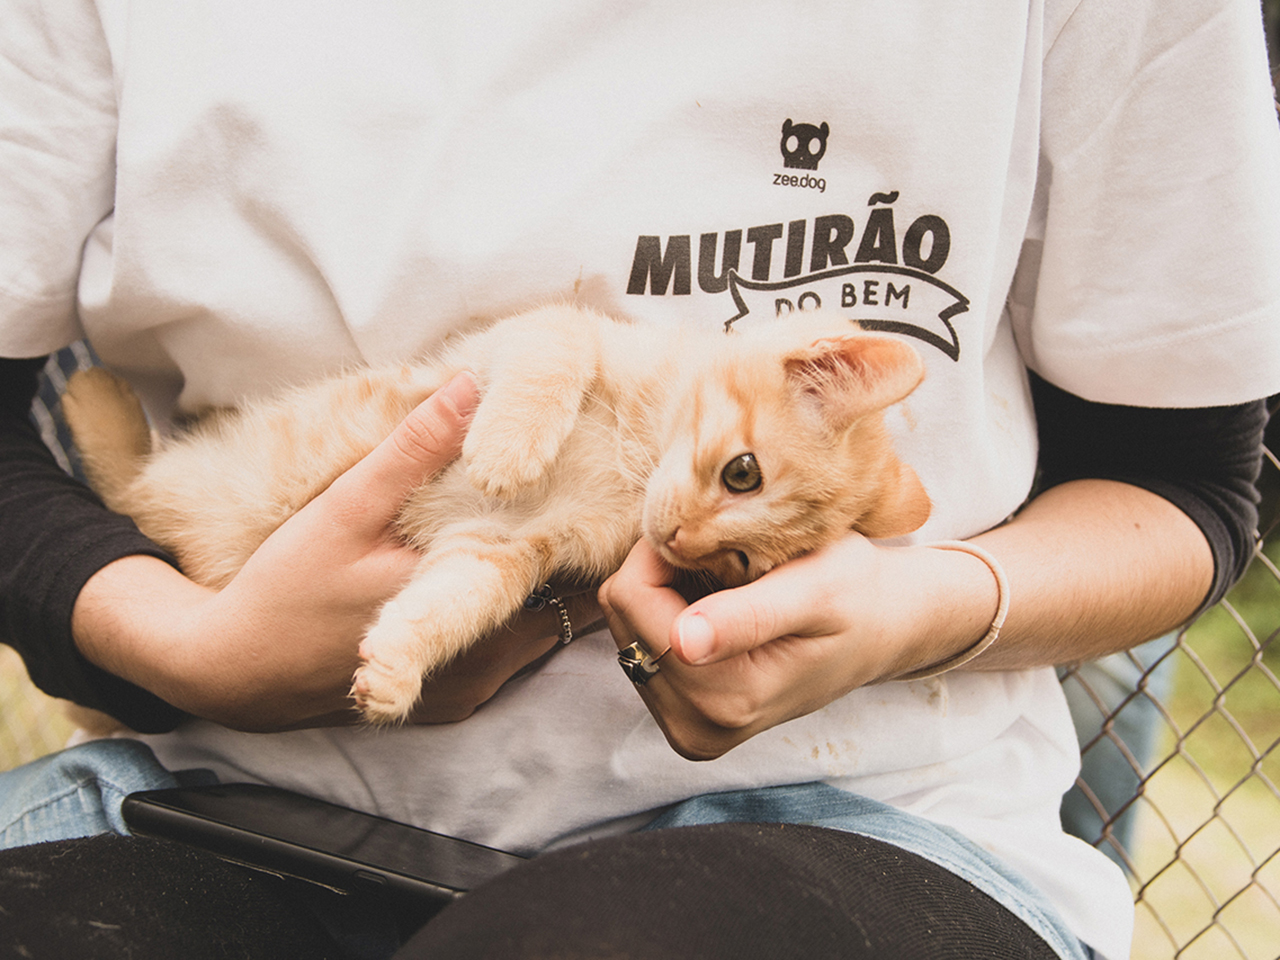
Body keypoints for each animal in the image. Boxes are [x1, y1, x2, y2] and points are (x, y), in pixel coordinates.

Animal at [62, 304, 930, 725]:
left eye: (740, 566)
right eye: (741, 473)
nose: (682, 539)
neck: (633, 469)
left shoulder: (503, 548)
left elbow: (458, 602)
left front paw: (395, 667)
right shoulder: (505, 346)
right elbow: (556, 346)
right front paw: (510, 447)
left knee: (131, 493)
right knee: (126, 481)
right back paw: (93, 391)